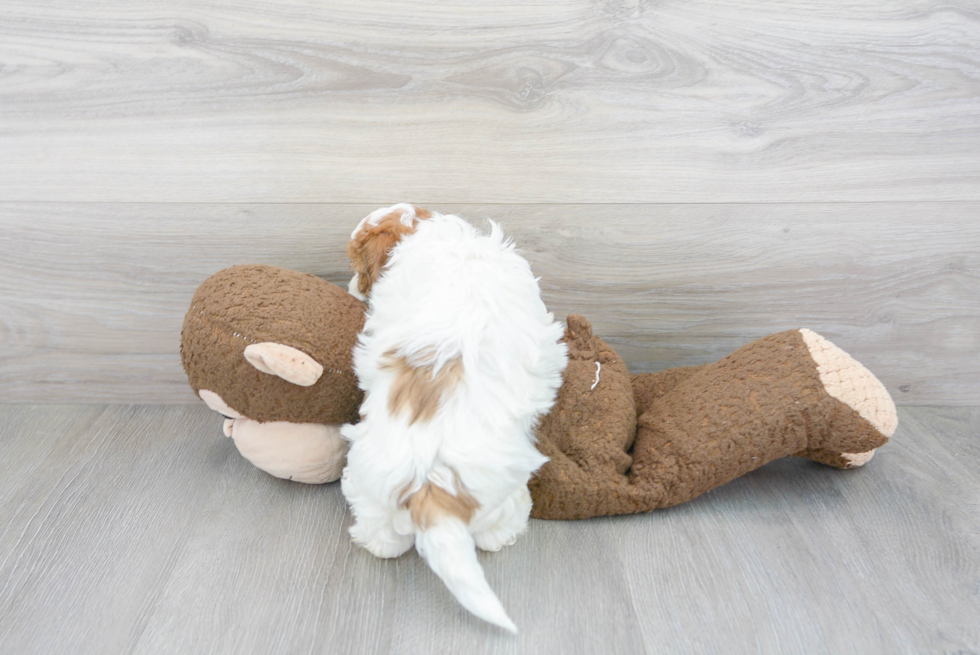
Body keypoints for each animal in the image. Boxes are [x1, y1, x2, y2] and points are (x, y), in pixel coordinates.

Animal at [340, 204, 568, 632]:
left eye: (356, 265)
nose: (349, 286)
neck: (431, 235)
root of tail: (431, 484)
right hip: (505, 491)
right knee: (494, 530)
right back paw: (506, 533)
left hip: (369, 478)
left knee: (383, 536)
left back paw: (377, 542)